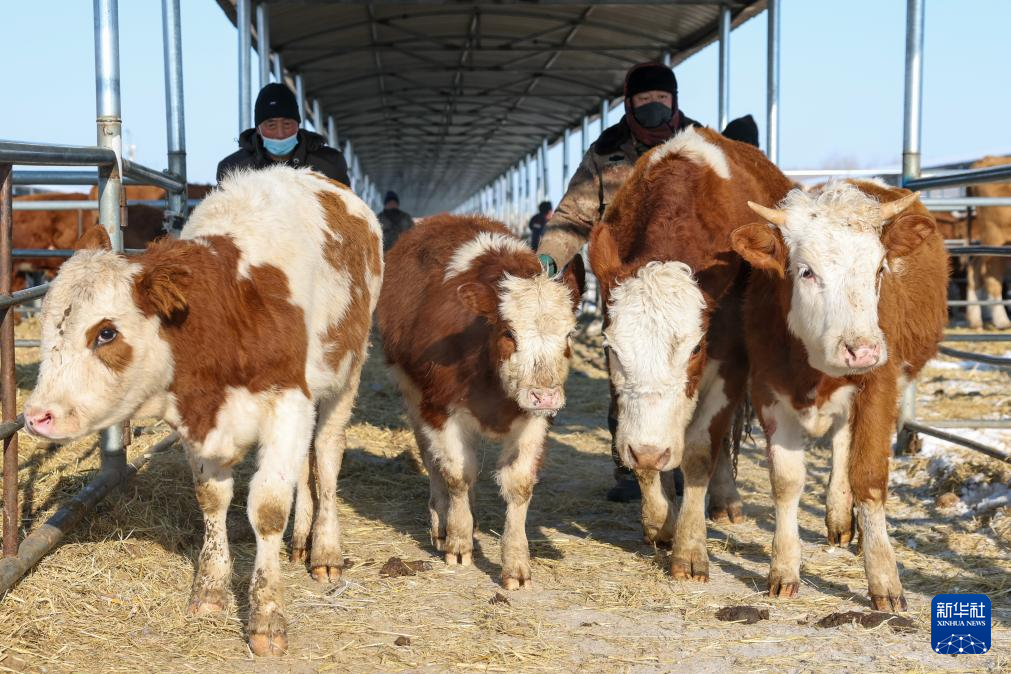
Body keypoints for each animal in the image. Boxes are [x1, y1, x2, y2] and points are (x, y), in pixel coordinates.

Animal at [22, 165, 382, 654]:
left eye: (106, 333)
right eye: (44, 325)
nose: (36, 416)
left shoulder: (289, 404)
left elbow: (268, 507)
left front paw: (267, 619)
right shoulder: (197, 419)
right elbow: (212, 499)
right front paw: (210, 591)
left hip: (346, 375)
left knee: (325, 457)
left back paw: (325, 550)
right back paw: (302, 540)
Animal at [378, 216, 586, 590]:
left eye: (569, 334)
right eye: (509, 333)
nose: (545, 396)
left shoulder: (534, 421)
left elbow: (517, 485)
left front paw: (515, 564)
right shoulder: (442, 410)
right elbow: (458, 475)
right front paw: (458, 542)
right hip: (413, 397)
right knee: (434, 462)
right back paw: (443, 525)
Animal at [590, 127, 792, 582]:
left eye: (696, 346)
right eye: (611, 347)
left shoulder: (730, 362)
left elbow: (701, 449)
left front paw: (690, 547)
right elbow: (644, 447)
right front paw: (660, 519)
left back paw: (725, 499)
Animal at [731, 178, 950, 610]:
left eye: (879, 269)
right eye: (806, 271)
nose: (861, 350)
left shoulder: (878, 388)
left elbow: (867, 477)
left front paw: (883, 577)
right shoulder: (768, 393)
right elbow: (786, 482)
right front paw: (784, 568)